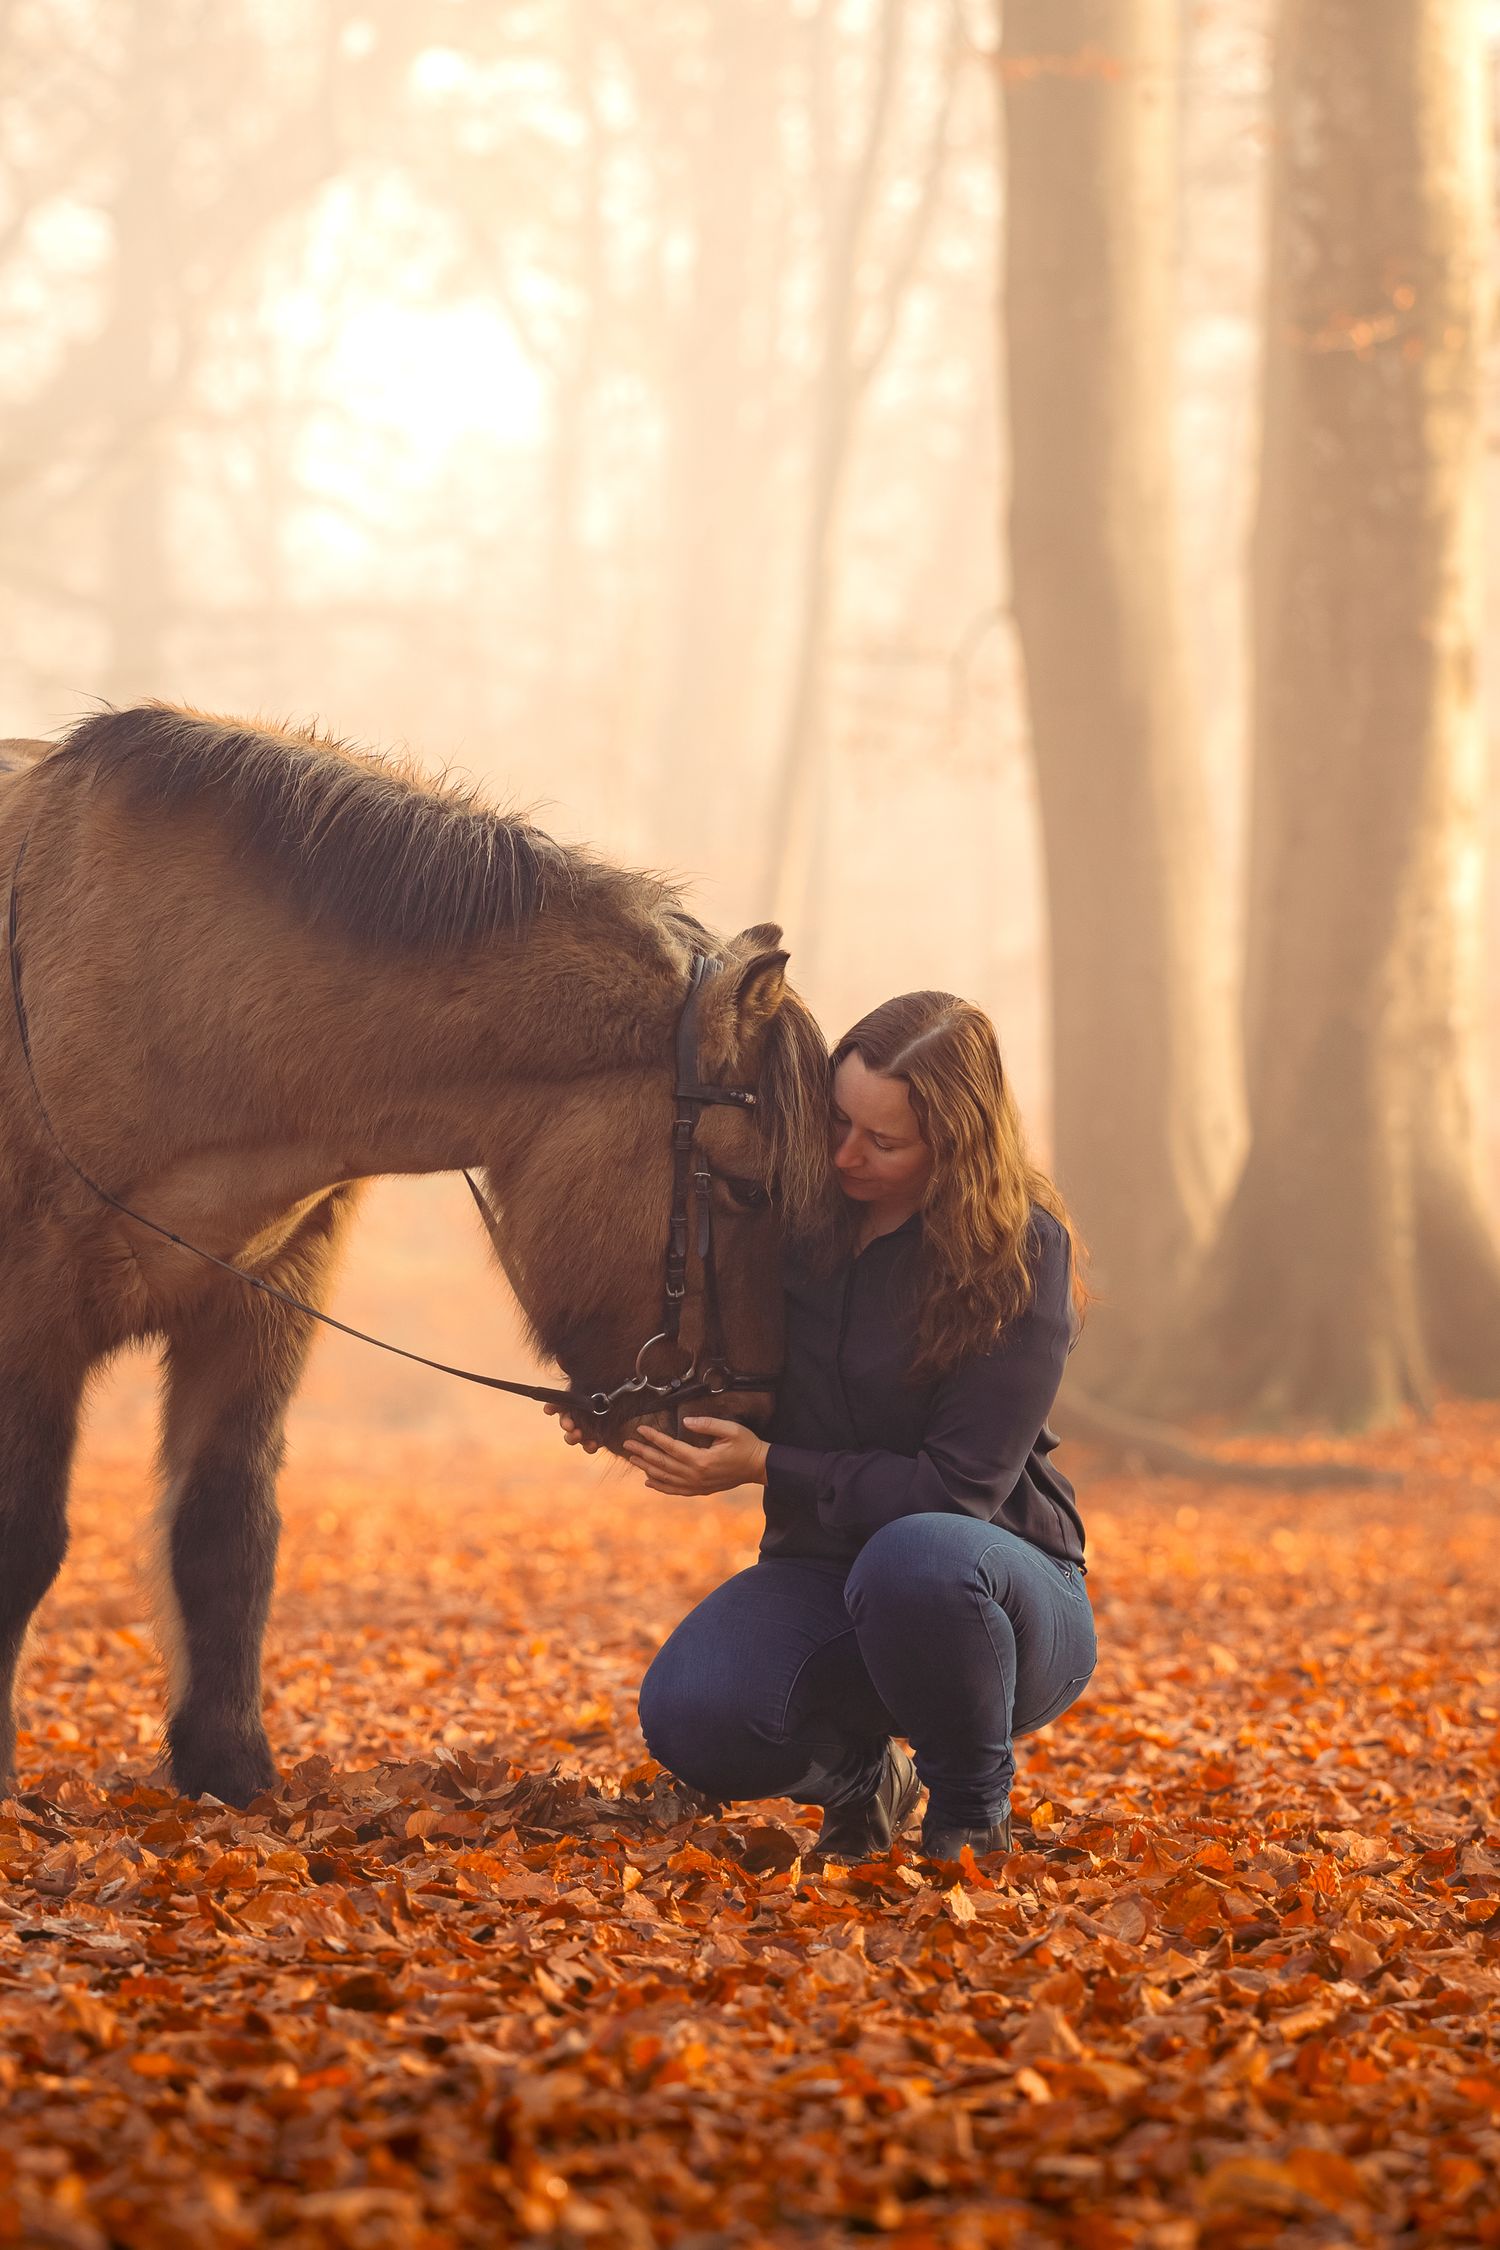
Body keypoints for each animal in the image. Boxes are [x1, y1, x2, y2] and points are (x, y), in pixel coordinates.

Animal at [0, 705, 832, 1806]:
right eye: (745, 1189)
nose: (753, 1420)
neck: (172, 992)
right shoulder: (32, 1314)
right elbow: (24, 1534)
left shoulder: (259, 1307)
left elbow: (224, 1534)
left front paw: (227, 1769)